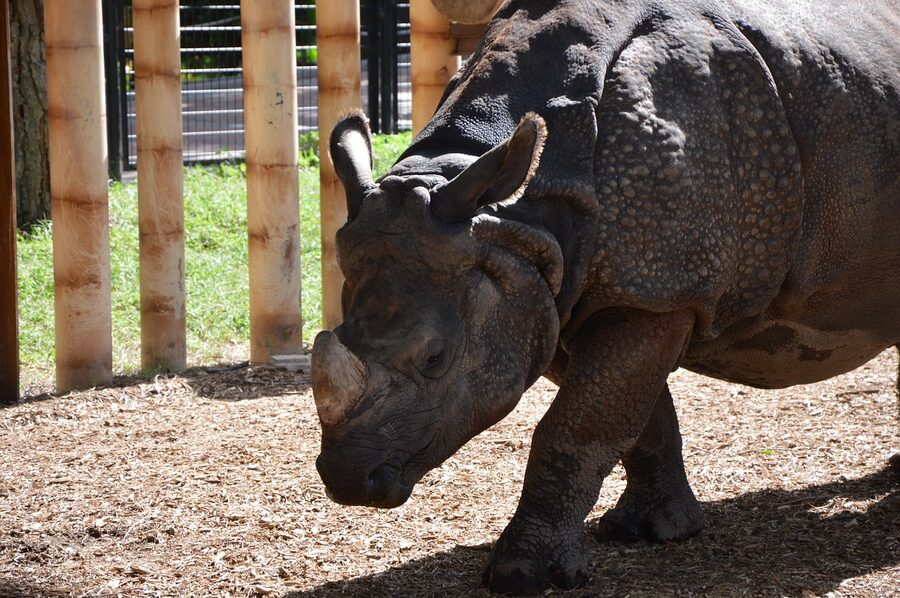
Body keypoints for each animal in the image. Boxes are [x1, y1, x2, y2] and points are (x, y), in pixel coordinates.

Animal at [310, 0, 900, 593]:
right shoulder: (550, 287)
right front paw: (653, 529)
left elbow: (575, 428)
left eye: (435, 359)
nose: (349, 480)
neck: (517, 216)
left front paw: (525, 574)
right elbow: (633, 419)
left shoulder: (654, 293)